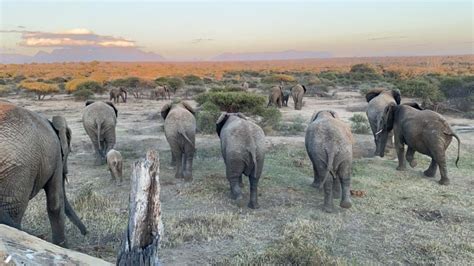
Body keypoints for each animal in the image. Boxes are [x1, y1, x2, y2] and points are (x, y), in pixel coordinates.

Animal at [0, 101, 87, 246]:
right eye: (69, 152)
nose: (85, 233)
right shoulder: (57, 156)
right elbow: (55, 204)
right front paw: (62, 246)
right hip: (18, 169)